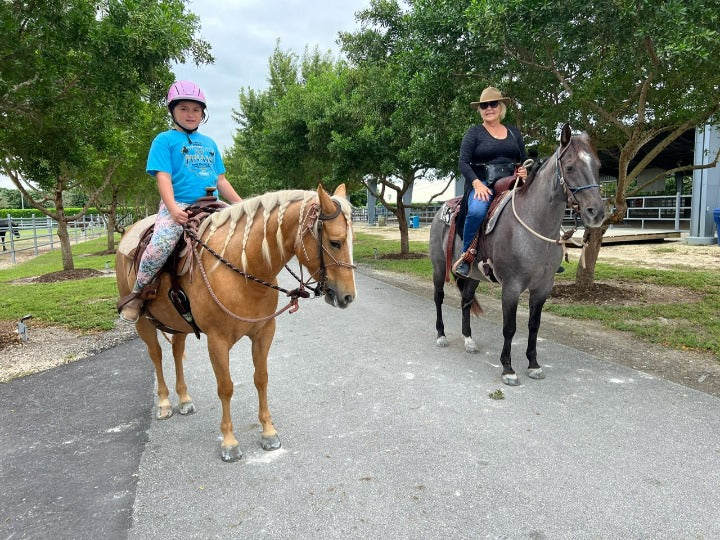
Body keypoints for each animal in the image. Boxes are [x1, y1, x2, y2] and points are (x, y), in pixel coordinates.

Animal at [114, 182, 358, 460]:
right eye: (335, 242)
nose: (348, 296)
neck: (243, 269)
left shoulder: (264, 333)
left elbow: (261, 378)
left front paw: (268, 432)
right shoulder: (217, 341)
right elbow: (226, 387)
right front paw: (229, 442)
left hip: (178, 323)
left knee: (176, 352)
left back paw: (184, 399)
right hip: (143, 322)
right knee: (156, 354)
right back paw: (164, 402)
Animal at [428, 123, 608, 384]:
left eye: (597, 166)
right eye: (570, 167)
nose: (597, 212)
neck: (535, 226)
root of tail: (442, 207)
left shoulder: (543, 287)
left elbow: (534, 325)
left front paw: (533, 364)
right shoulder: (511, 287)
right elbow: (509, 327)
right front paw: (508, 368)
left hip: (473, 275)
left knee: (466, 300)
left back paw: (469, 340)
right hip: (439, 267)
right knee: (439, 297)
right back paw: (441, 335)